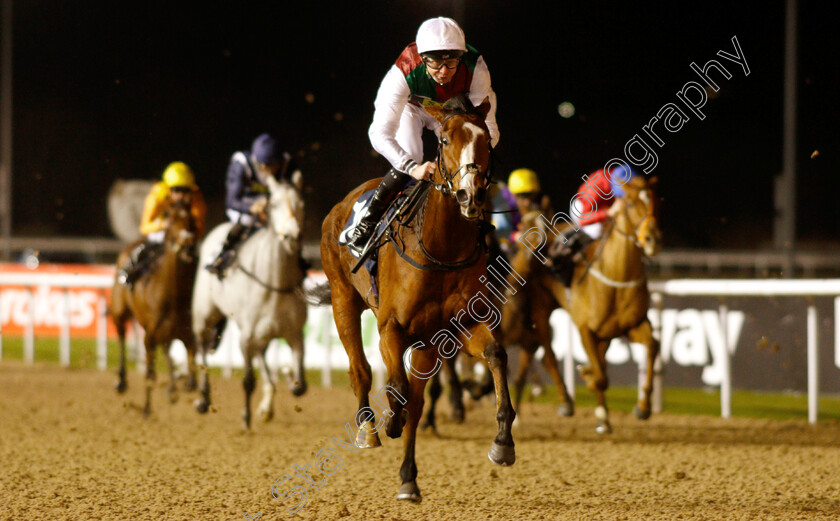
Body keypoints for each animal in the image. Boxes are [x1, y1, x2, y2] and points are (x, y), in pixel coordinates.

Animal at [110, 199, 199, 414]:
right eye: (171, 219)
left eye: (192, 220)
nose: (188, 246)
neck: (173, 298)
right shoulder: (149, 337)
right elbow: (150, 374)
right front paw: (146, 408)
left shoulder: (187, 335)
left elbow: (192, 372)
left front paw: (184, 384)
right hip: (119, 311)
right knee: (121, 334)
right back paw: (121, 381)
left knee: (167, 350)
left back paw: (172, 388)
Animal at [322, 96, 520, 500]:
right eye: (444, 139)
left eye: (486, 141)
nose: (470, 194)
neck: (441, 248)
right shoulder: (391, 328)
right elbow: (396, 388)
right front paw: (390, 423)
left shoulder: (456, 328)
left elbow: (495, 355)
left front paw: (503, 442)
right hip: (342, 300)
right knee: (360, 370)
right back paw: (369, 429)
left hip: (426, 342)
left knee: (416, 398)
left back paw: (408, 478)